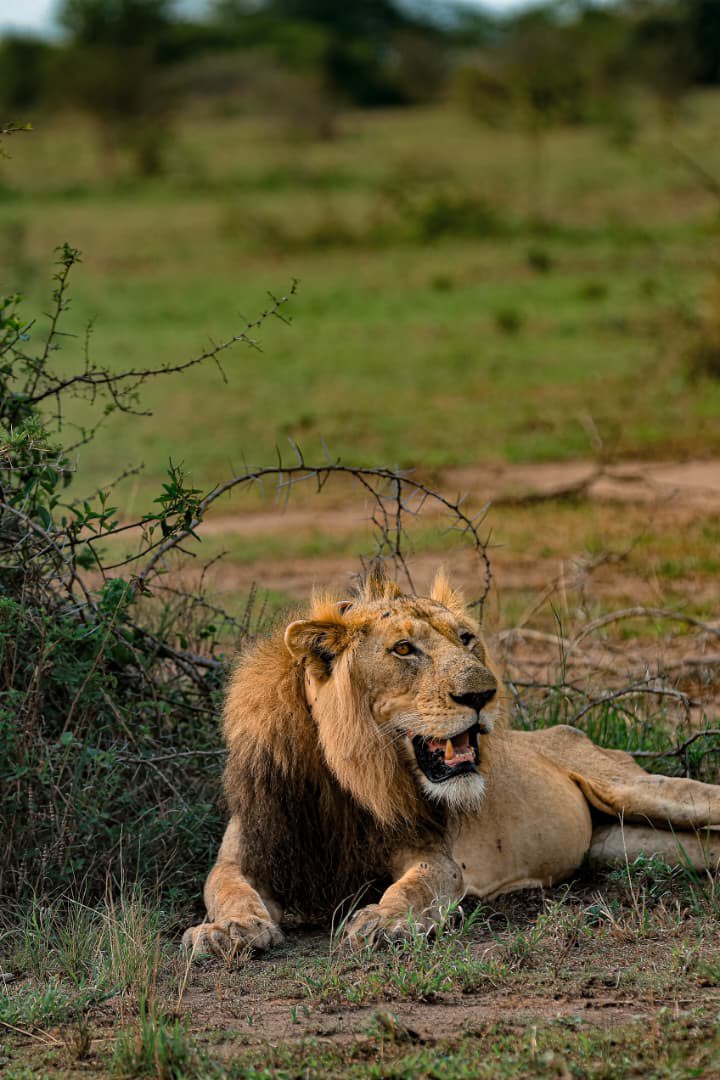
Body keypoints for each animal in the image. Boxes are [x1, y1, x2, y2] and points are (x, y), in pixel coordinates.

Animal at [183, 567, 720, 954]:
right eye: (403, 648)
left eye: (465, 638)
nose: (483, 694)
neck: (340, 778)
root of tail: (563, 730)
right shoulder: (246, 851)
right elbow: (225, 886)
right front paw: (229, 930)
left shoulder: (432, 854)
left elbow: (414, 887)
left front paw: (383, 922)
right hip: (623, 844)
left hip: (639, 790)